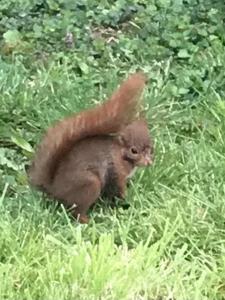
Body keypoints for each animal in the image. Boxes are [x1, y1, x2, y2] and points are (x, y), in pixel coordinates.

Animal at [28, 72, 154, 223]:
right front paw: (127, 201)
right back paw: (87, 220)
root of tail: (54, 189)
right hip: (90, 185)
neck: (120, 153)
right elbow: (119, 189)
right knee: (76, 211)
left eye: (151, 148)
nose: (148, 162)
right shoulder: (116, 172)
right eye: (133, 151)